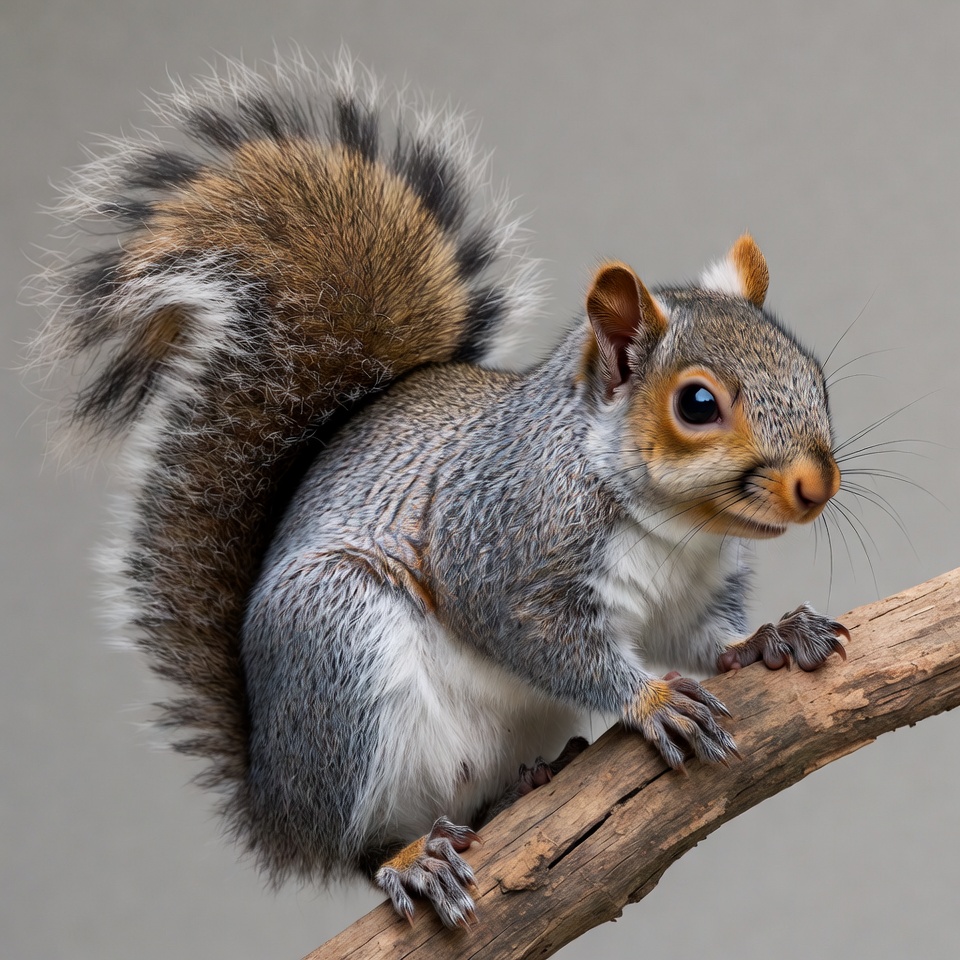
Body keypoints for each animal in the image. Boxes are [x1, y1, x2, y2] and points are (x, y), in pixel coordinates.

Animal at [30, 53, 850, 929]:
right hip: (336, 646)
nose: (816, 485)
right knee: (354, 843)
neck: (672, 529)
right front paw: (653, 699)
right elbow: (545, 641)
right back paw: (409, 860)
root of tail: (274, 804)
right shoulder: (501, 548)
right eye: (696, 403)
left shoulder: (686, 595)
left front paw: (770, 637)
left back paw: (527, 782)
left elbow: (704, 638)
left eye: (815, 377)